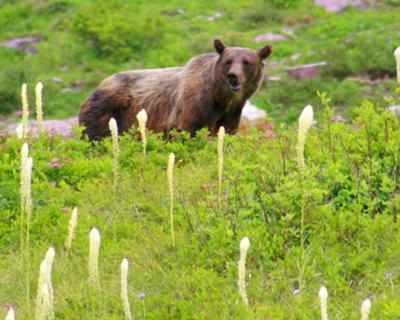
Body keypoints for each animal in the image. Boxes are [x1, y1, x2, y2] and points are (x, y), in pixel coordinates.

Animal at [78, 38, 272, 140]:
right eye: (228, 61)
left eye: (247, 62)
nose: (233, 76)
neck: (220, 98)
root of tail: (97, 86)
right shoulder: (193, 106)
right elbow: (187, 131)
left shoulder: (230, 113)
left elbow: (224, 133)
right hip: (107, 112)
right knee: (95, 138)